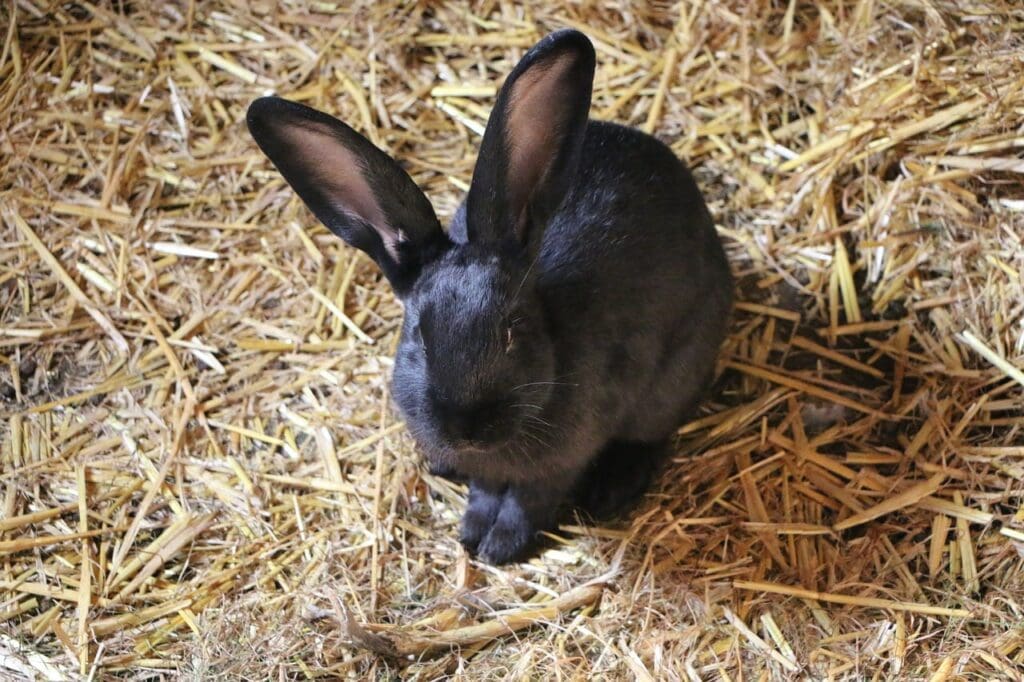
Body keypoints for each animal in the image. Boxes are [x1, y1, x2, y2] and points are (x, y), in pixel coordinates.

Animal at [246, 29, 729, 561]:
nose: (466, 427)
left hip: (677, 373)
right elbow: (486, 489)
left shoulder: (559, 464)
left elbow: (528, 499)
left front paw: (499, 546)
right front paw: (473, 532)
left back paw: (611, 489)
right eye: (418, 337)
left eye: (513, 331)